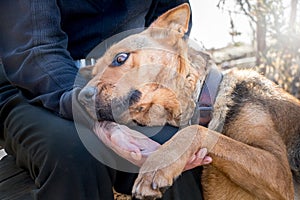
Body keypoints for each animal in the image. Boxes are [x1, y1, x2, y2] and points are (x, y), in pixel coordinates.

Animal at [78, 3, 300, 200]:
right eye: (94, 74)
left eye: (120, 58)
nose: (81, 97)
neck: (208, 102)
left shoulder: (278, 170)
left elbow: (194, 131)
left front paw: (157, 166)